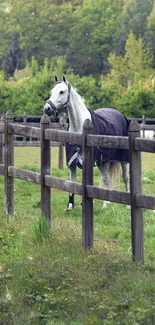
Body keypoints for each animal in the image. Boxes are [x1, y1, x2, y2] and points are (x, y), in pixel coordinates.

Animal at [44, 75, 130, 209]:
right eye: (52, 91)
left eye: (62, 91)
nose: (47, 109)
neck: (79, 126)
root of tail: (121, 115)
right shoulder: (72, 162)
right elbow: (72, 183)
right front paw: (70, 205)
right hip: (102, 161)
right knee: (106, 178)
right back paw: (106, 204)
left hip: (123, 159)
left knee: (126, 178)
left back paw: (128, 205)